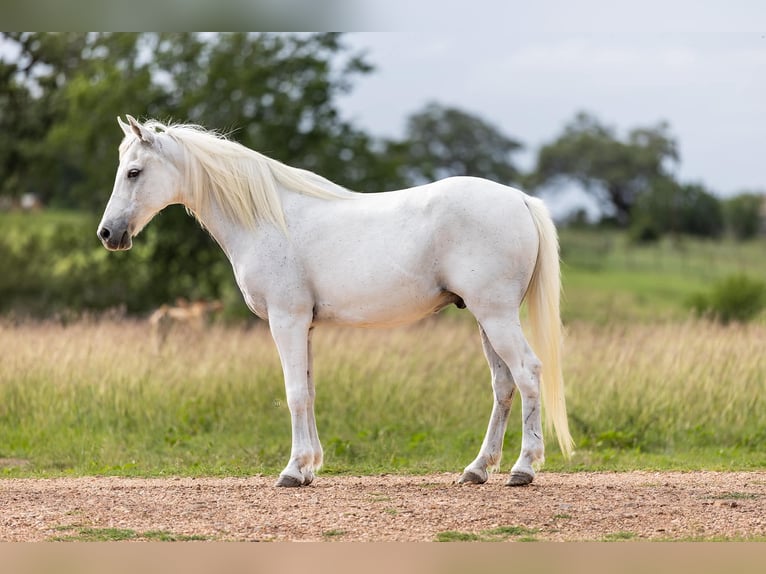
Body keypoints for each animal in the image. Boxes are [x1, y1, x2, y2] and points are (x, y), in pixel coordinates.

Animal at [97, 115, 574, 487]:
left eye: (134, 172)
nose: (107, 234)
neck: (268, 219)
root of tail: (520, 199)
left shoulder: (286, 321)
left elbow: (293, 393)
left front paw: (292, 471)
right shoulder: (304, 326)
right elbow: (308, 390)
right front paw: (309, 468)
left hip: (496, 316)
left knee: (528, 373)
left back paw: (523, 469)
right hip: (485, 319)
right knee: (503, 385)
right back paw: (477, 469)